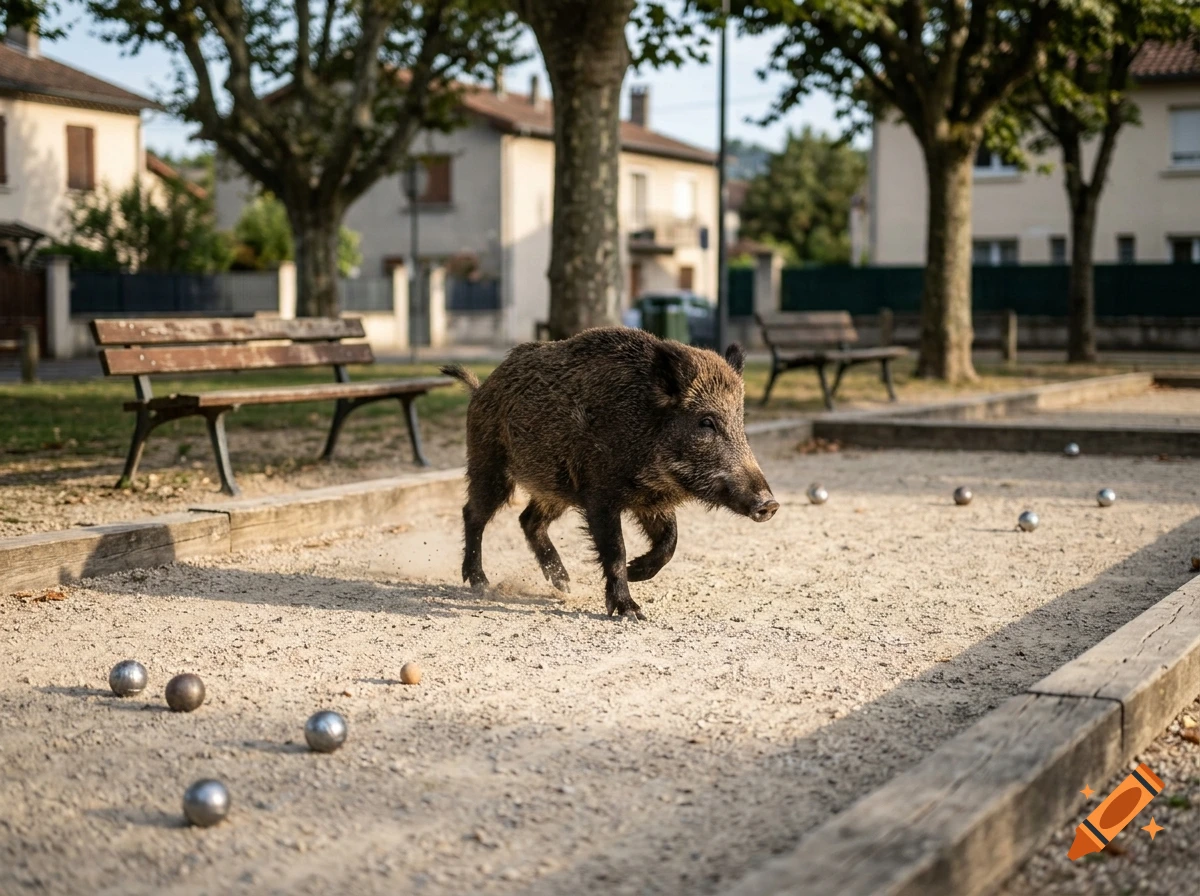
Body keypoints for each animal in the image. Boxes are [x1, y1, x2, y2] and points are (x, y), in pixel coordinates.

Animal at [441, 327, 778, 621]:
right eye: (706, 422)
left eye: (740, 421)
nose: (770, 504)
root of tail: (480, 388)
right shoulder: (600, 495)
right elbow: (616, 549)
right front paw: (632, 612)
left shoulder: (652, 501)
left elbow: (670, 542)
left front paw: (635, 571)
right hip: (489, 463)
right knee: (473, 513)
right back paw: (481, 584)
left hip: (554, 488)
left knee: (528, 520)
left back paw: (564, 584)